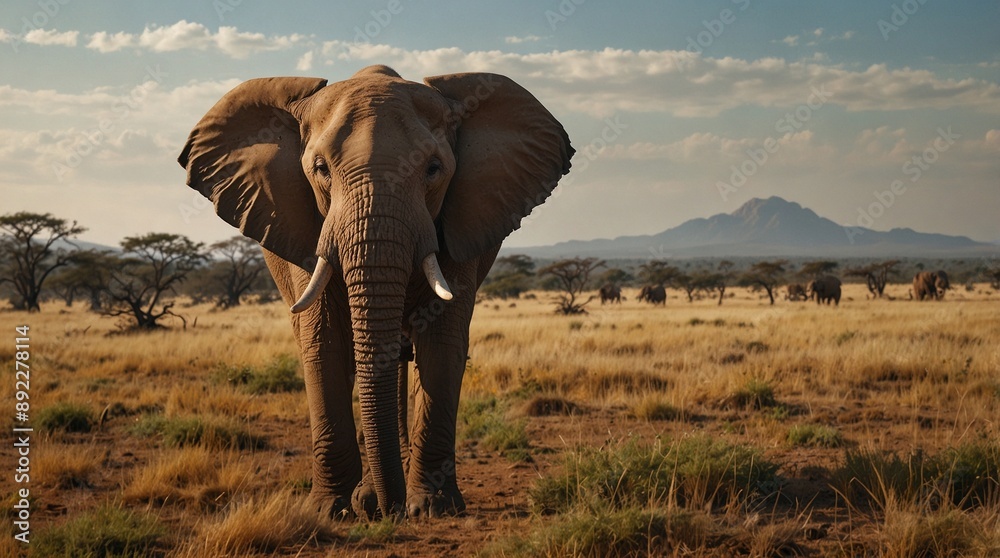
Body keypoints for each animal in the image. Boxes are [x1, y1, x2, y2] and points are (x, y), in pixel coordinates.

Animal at [178, 65, 573, 519]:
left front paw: (432, 508)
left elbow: (442, 345)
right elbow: (324, 344)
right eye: (320, 169)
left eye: (434, 168)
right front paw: (332, 510)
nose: (392, 511)